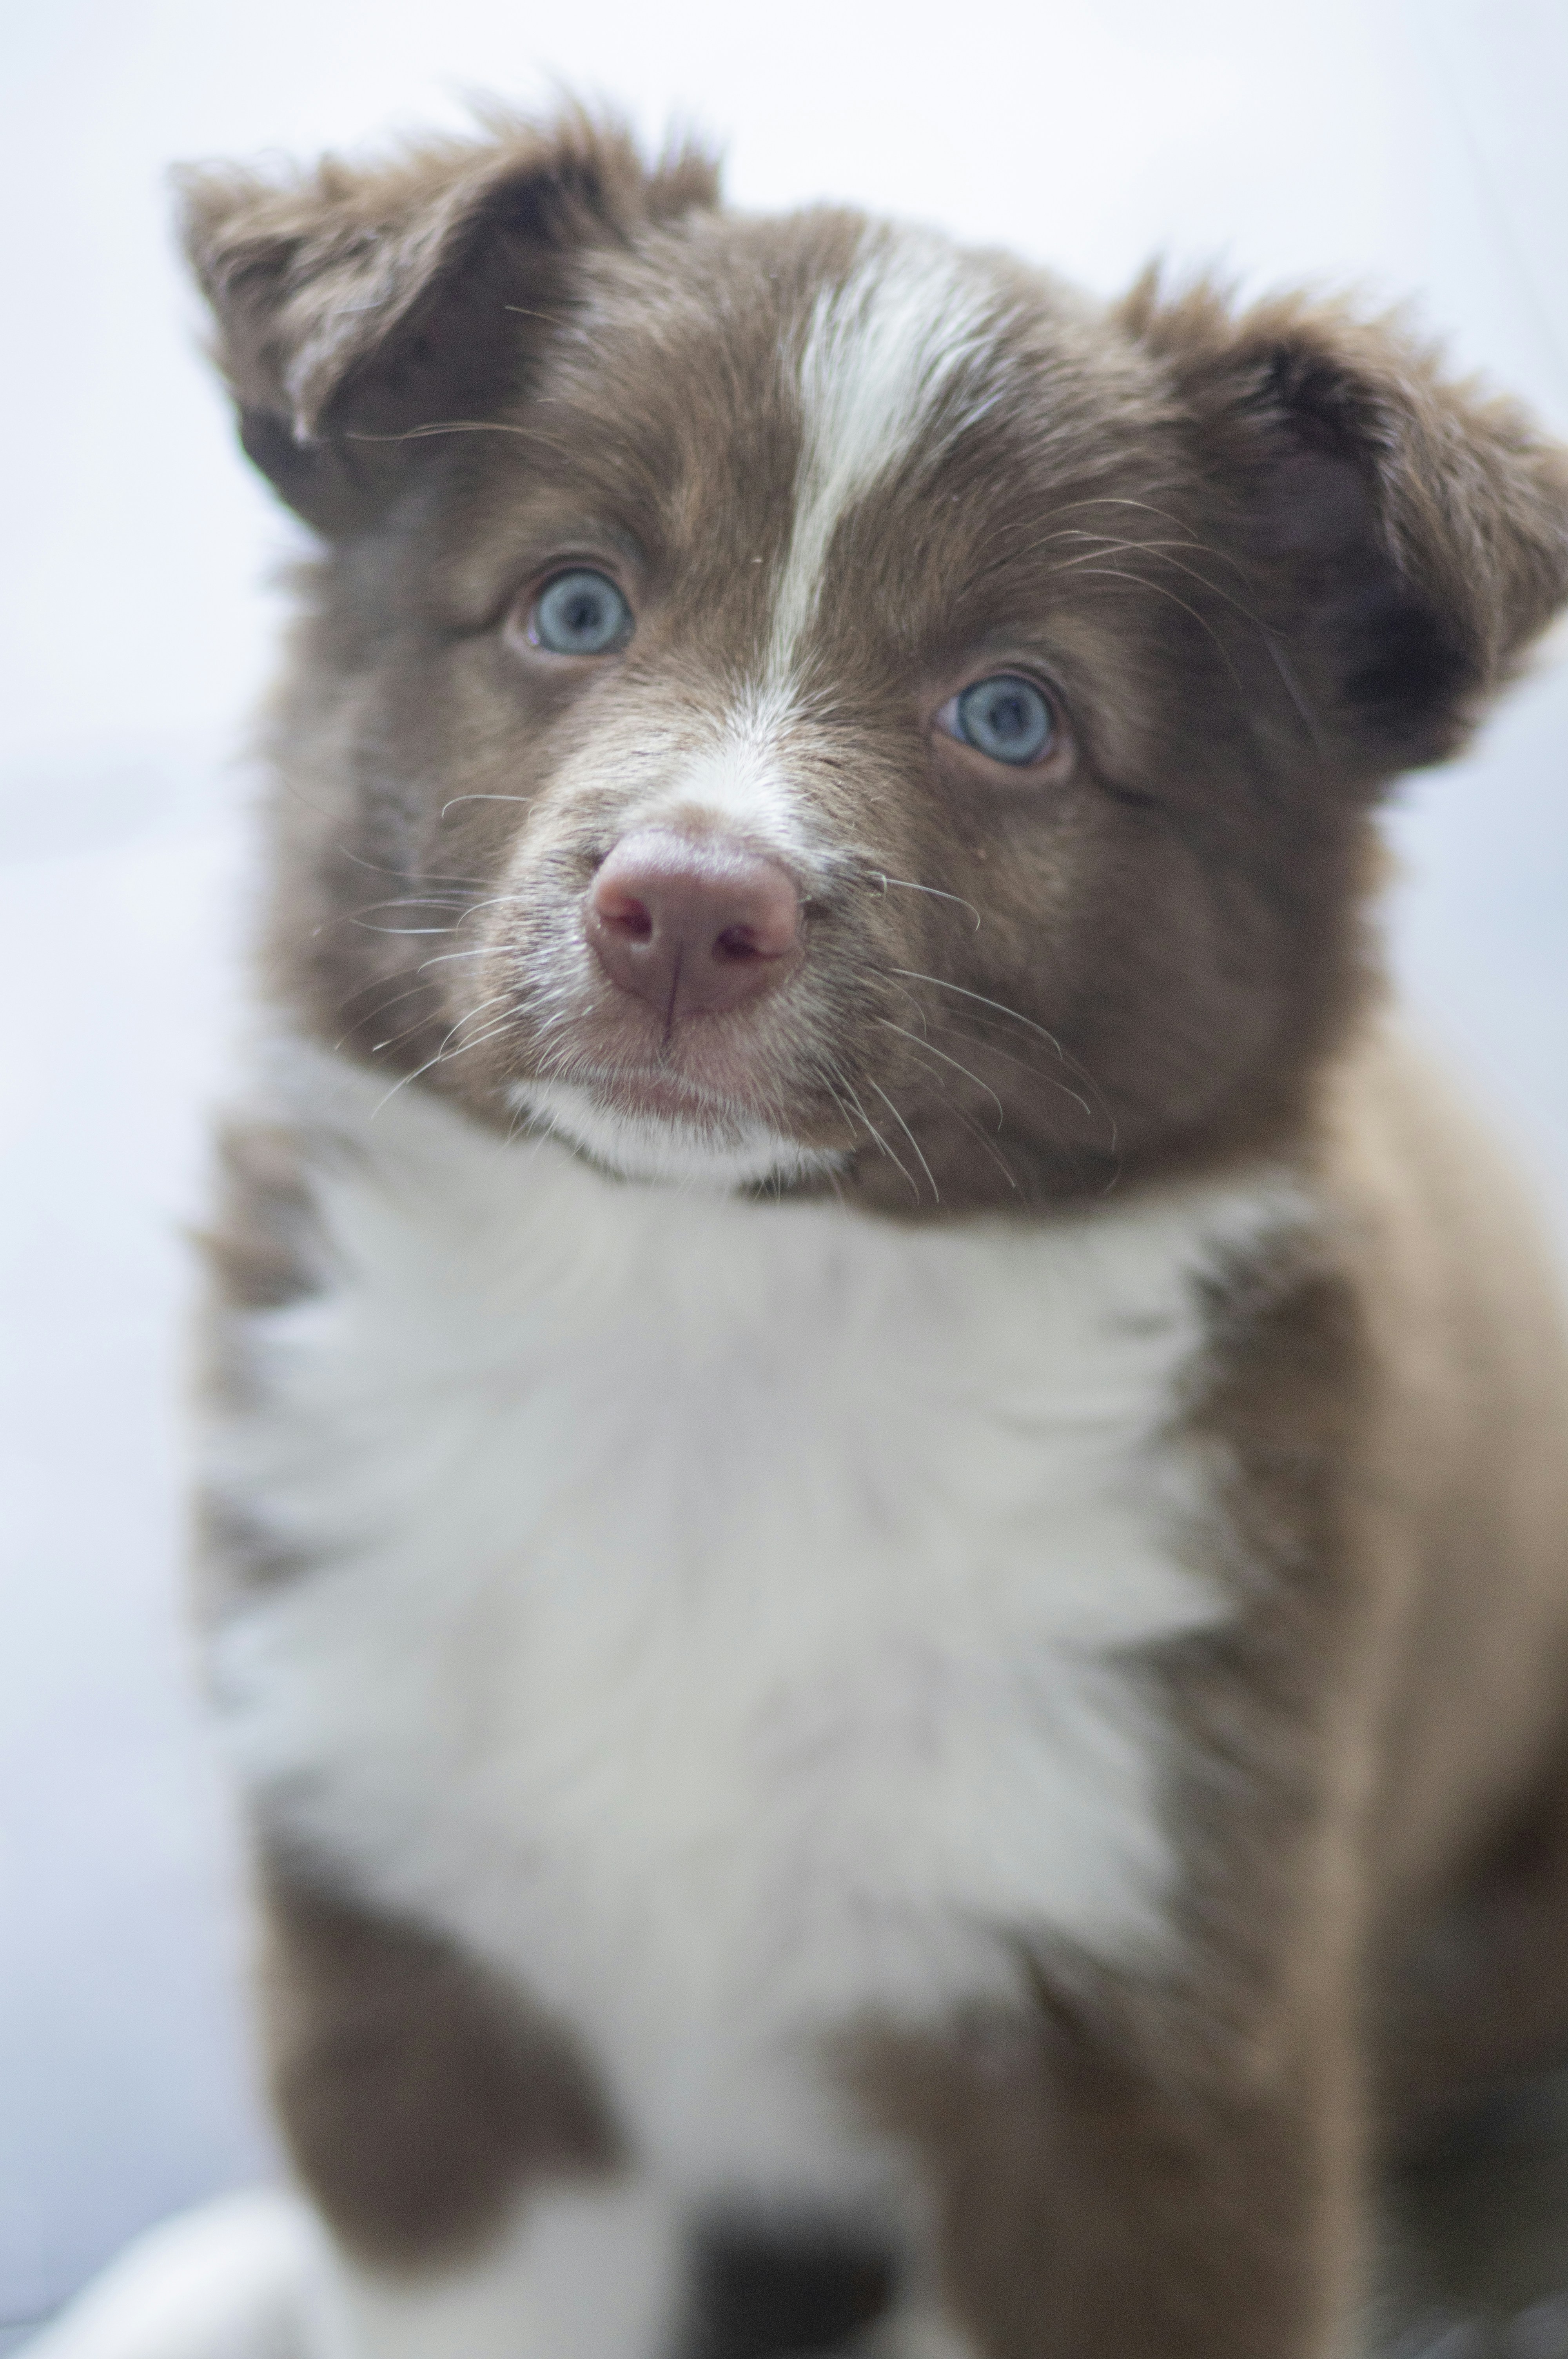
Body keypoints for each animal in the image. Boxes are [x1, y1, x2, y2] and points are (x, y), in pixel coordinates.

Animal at [29, 106, 1568, 2359]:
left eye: (1010, 718)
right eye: (574, 604)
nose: (683, 906)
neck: (708, 1319)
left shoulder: (1144, 2039)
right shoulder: (418, 1961)